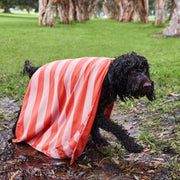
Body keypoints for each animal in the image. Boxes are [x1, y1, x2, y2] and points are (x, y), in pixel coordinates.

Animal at [13, 52, 155, 154]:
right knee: (24, 111)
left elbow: (94, 126)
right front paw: (131, 144)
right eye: (131, 70)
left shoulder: (96, 109)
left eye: (144, 68)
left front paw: (98, 140)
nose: (148, 86)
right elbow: (116, 128)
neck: (107, 79)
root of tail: (37, 68)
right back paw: (17, 132)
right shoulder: (96, 111)